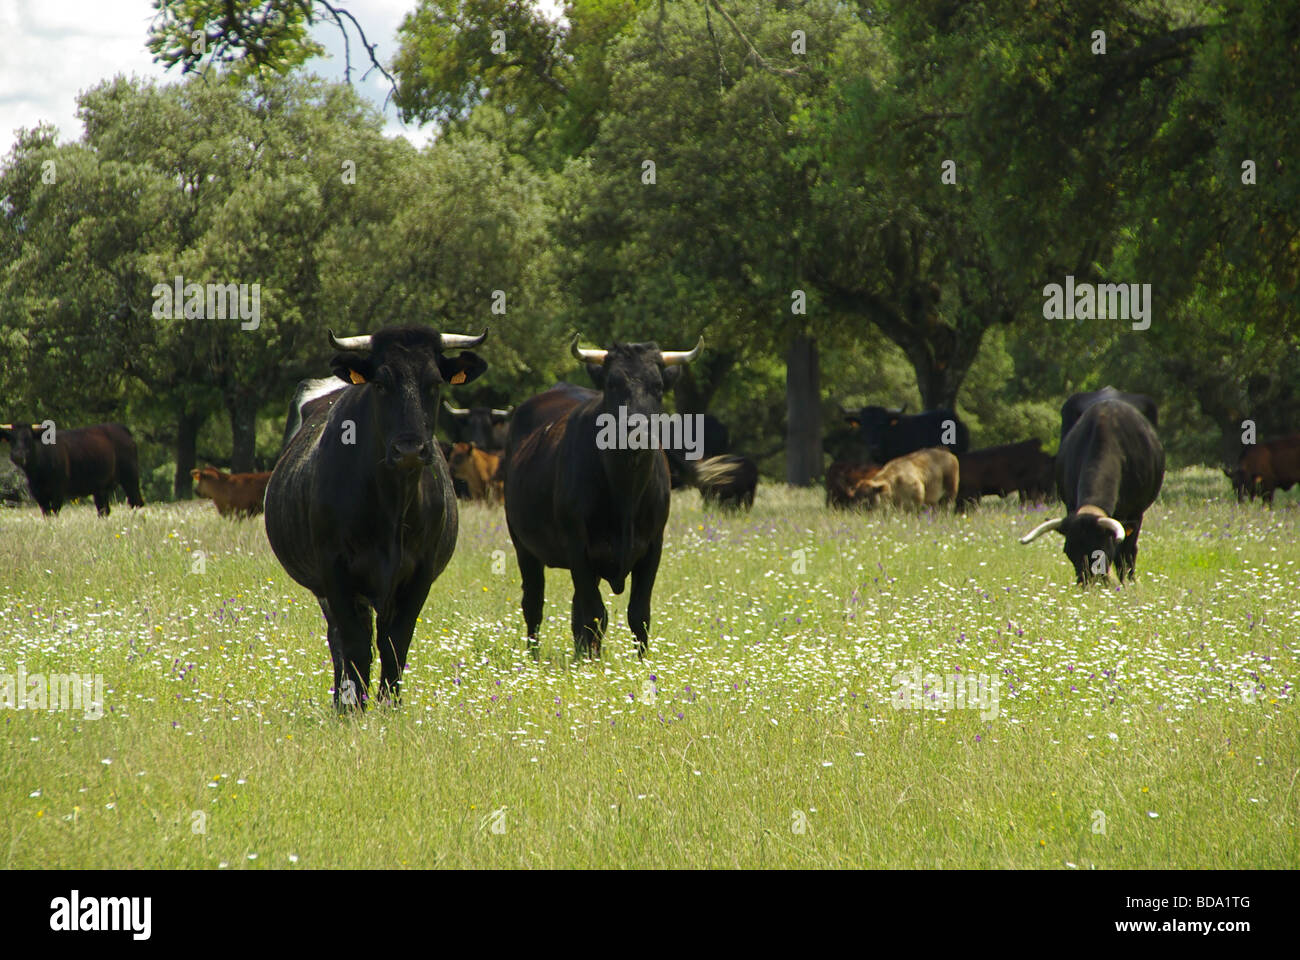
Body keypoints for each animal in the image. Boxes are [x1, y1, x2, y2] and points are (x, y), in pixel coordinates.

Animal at [263, 325, 488, 707]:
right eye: (381, 384)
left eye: (434, 383)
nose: (409, 449)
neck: (392, 504)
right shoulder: (335, 569)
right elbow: (355, 643)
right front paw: (353, 705)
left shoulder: (420, 572)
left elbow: (396, 641)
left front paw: (390, 706)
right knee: (339, 637)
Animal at [501, 330, 702, 658]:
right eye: (612, 384)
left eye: (658, 386)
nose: (638, 428)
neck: (625, 491)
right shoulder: (577, 546)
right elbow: (596, 613)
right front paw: (594, 662)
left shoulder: (653, 546)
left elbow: (638, 614)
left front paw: (643, 663)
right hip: (523, 544)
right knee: (534, 603)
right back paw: (534, 657)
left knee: (575, 609)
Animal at [1019, 395, 1164, 582]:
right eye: (1068, 552)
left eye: (1101, 552)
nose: (1088, 584)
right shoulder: (1071, 506)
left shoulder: (1135, 514)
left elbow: (1126, 554)